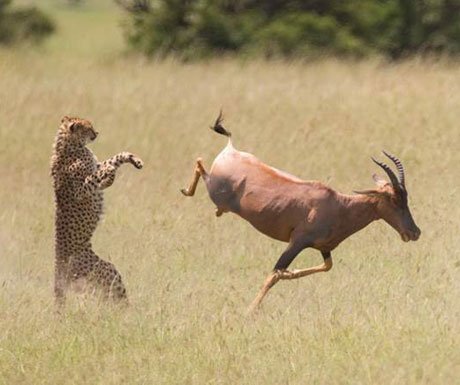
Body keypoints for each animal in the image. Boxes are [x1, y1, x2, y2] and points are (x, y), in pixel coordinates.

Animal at [50, 115, 144, 304]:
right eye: (88, 128)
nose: (97, 133)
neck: (70, 145)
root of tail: (58, 272)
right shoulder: (80, 190)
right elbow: (101, 172)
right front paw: (107, 178)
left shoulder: (96, 164)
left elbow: (115, 158)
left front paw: (133, 159)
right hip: (106, 271)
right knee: (116, 296)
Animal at [180, 112, 420, 310]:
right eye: (394, 199)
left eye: (406, 197)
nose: (415, 232)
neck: (338, 204)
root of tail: (230, 150)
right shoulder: (297, 242)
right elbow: (274, 274)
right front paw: (250, 311)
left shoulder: (324, 248)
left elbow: (325, 267)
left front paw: (291, 273)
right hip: (214, 191)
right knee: (199, 163)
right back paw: (186, 190)